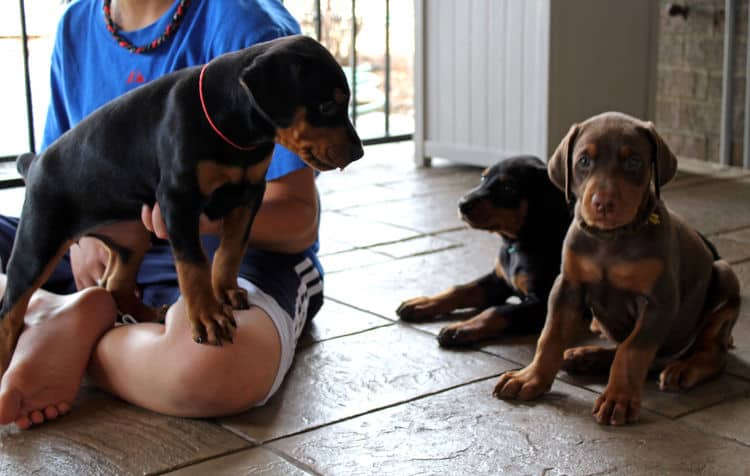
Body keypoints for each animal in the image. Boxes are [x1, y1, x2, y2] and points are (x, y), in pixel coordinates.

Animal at [0, 34, 364, 376]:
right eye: (327, 106)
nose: (359, 152)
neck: (236, 132)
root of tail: (35, 163)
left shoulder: (250, 193)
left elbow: (232, 247)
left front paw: (226, 291)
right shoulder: (177, 199)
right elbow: (193, 263)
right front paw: (207, 317)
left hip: (131, 236)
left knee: (115, 282)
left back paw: (147, 315)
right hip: (39, 239)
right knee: (11, 309)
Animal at [400, 156, 568, 346]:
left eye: (508, 188)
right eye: (483, 178)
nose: (462, 204)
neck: (516, 244)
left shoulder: (543, 303)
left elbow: (497, 310)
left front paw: (461, 327)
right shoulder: (498, 280)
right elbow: (461, 289)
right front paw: (422, 303)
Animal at [496, 112, 744, 428]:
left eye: (634, 161)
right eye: (584, 161)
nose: (603, 203)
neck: (610, 239)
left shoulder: (659, 302)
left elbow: (633, 350)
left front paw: (619, 399)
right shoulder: (567, 286)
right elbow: (550, 335)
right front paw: (531, 377)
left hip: (724, 276)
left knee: (712, 352)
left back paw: (684, 369)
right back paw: (586, 356)